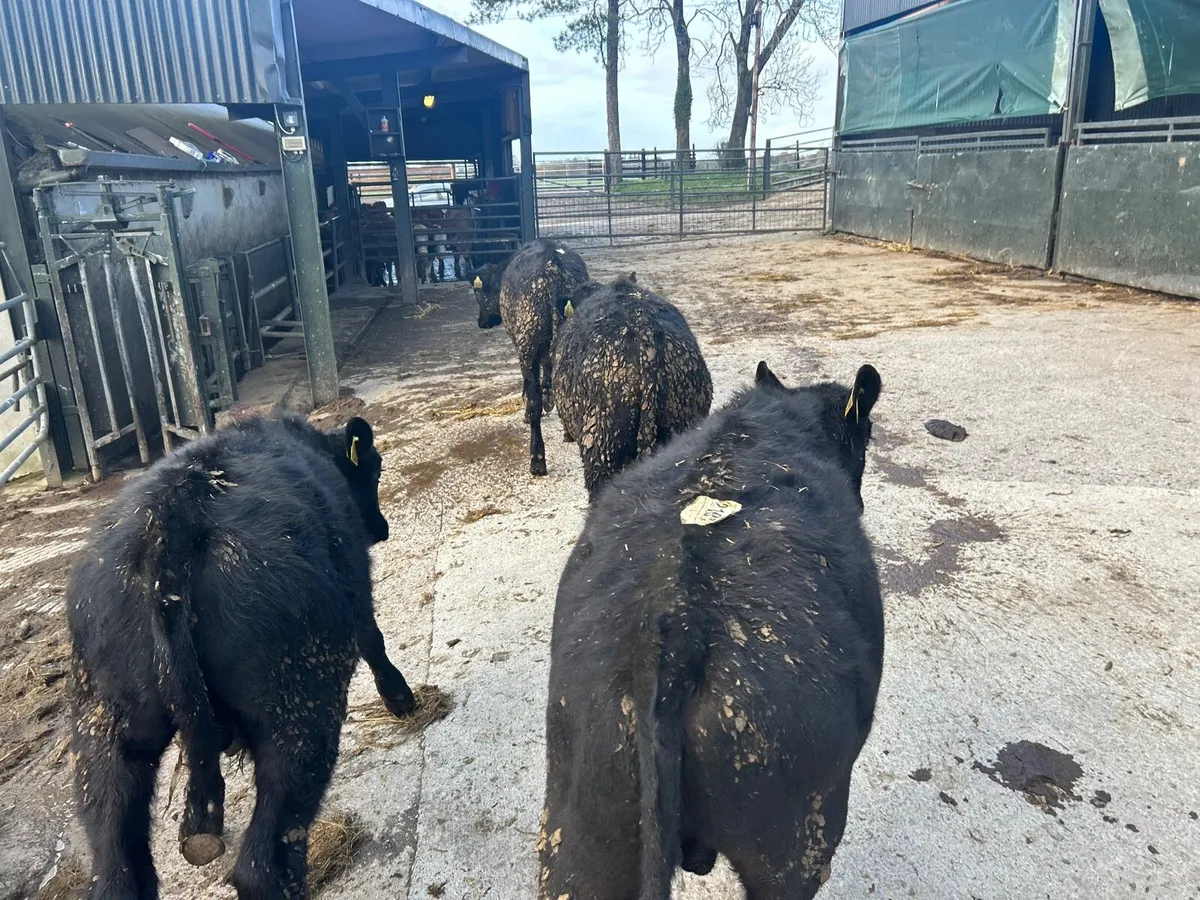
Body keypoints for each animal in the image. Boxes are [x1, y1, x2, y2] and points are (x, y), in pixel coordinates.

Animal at [66, 413, 415, 900]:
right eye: (376, 469)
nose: (380, 529)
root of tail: (170, 523)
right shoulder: (358, 596)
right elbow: (373, 640)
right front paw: (400, 699)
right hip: (298, 716)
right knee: (262, 865)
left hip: (104, 735)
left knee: (116, 870)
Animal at [477, 240, 589, 477]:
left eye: (478, 294)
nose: (481, 322)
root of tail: (552, 267)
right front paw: (549, 395)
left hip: (528, 344)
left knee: (534, 399)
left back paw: (537, 459)